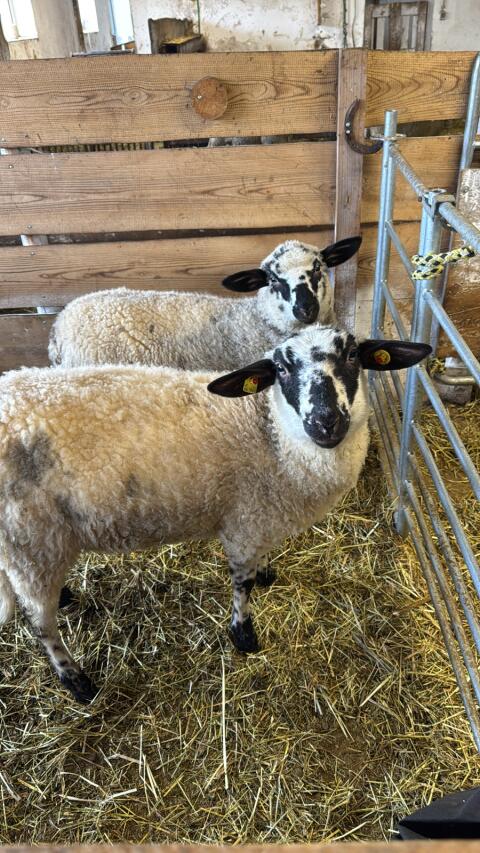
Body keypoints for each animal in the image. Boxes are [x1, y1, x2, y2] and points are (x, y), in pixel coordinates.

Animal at [0, 326, 430, 703]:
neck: (269, 433)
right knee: (39, 622)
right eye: (282, 369)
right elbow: (242, 585)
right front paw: (244, 635)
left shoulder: (262, 514)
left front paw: (267, 573)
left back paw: (66, 598)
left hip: (29, 545)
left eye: (353, 355)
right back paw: (76, 680)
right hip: (29, 539)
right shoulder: (243, 524)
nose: (325, 422)